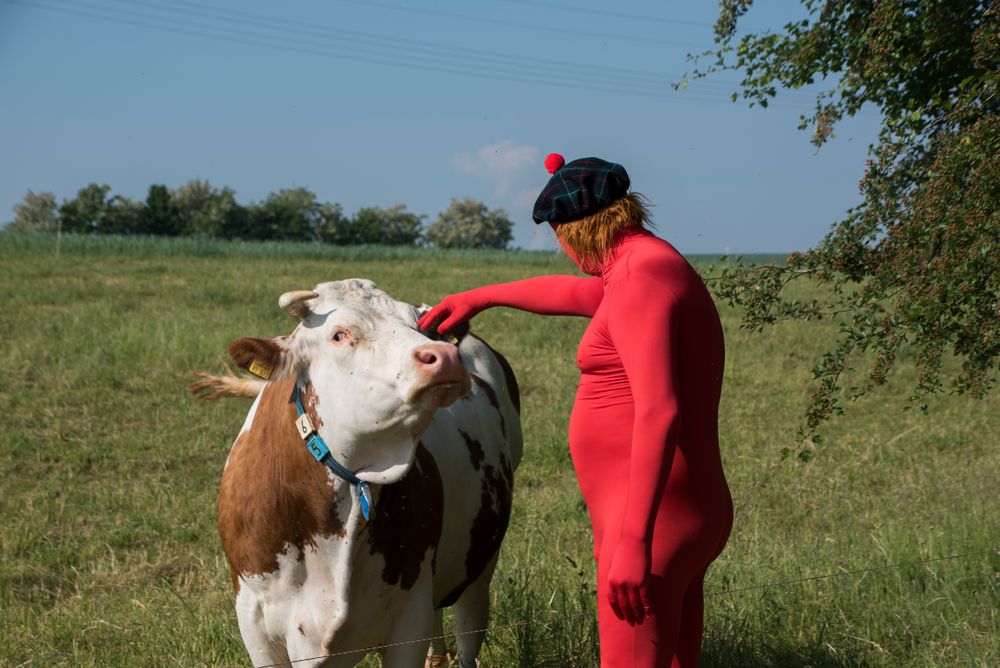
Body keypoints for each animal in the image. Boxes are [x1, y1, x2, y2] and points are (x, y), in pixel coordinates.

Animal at [197, 280, 524, 668]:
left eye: (422, 326)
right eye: (339, 334)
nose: (444, 356)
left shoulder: (408, 618)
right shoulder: (254, 621)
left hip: (479, 564)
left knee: (468, 630)